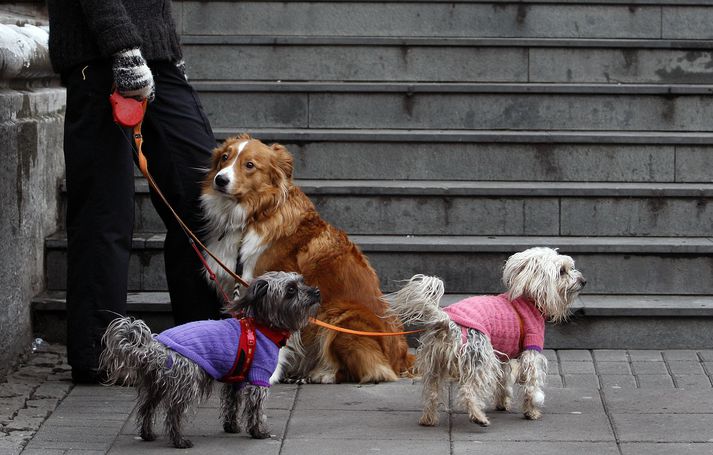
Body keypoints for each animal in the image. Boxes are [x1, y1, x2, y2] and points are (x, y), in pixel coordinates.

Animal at [99, 270, 320, 448]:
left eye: (302, 281)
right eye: (290, 290)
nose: (316, 291)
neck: (262, 327)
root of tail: (157, 347)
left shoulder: (236, 381)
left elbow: (232, 404)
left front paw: (232, 427)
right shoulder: (259, 378)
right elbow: (256, 409)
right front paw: (258, 432)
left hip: (155, 386)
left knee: (146, 409)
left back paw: (148, 435)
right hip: (186, 386)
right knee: (173, 414)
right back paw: (180, 441)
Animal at [200, 135, 412, 384]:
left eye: (249, 165)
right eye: (225, 157)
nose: (220, 180)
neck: (255, 214)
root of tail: (402, 358)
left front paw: (269, 373)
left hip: (340, 315)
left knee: (372, 370)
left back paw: (320, 374)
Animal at [386, 248, 588, 430]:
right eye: (562, 271)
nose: (583, 281)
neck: (529, 299)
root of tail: (447, 322)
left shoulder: (503, 356)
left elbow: (504, 381)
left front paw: (502, 403)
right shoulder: (531, 350)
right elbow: (532, 385)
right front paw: (532, 412)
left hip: (436, 363)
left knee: (432, 393)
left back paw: (428, 419)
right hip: (480, 359)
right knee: (468, 391)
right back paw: (478, 417)